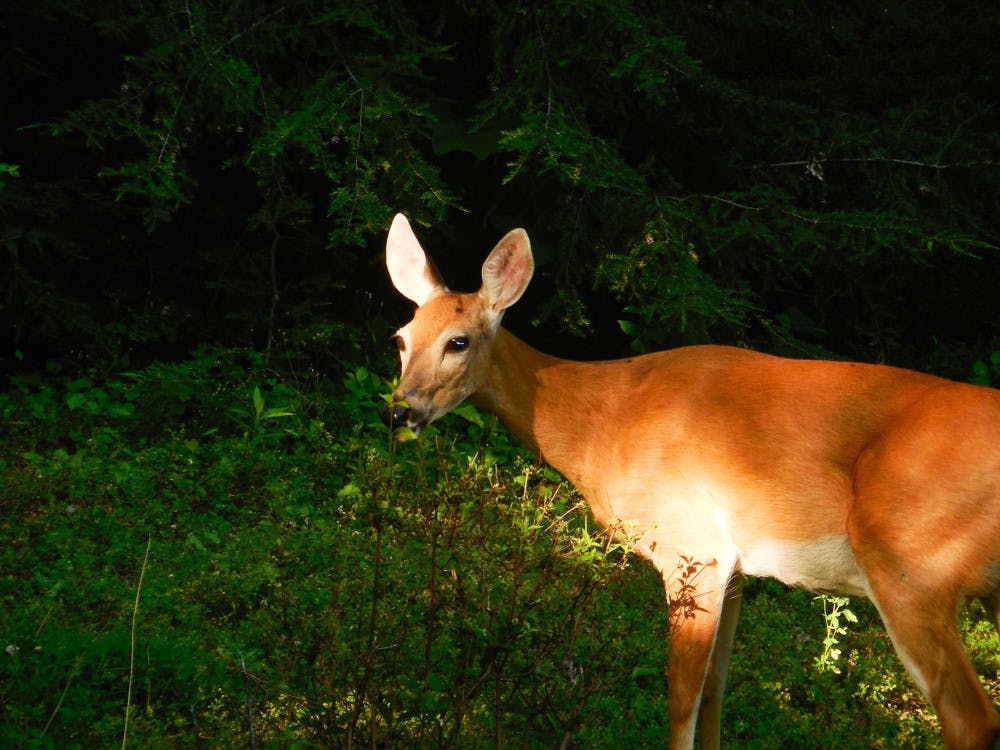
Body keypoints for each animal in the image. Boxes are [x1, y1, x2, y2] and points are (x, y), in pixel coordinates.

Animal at [381, 213, 1000, 750]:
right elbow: (715, 695)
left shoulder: (692, 548)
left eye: (458, 341)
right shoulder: (738, 570)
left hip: (912, 565)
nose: (400, 410)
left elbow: (681, 701)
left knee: (970, 718)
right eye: (401, 338)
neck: (603, 420)